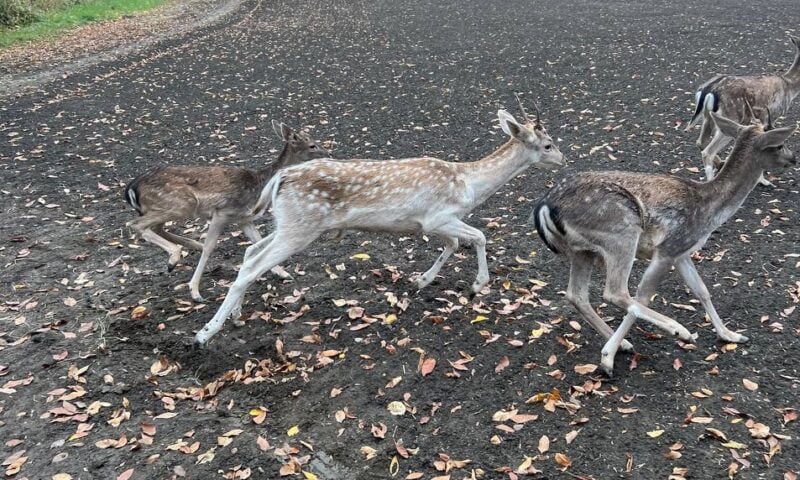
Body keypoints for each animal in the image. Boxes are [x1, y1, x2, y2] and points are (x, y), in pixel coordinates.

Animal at [124, 120, 328, 300]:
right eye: (312, 145)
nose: (327, 154)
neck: (258, 187)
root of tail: (131, 189)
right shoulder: (222, 212)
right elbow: (210, 247)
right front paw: (195, 291)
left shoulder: (244, 218)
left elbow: (258, 241)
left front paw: (283, 273)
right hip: (180, 203)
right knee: (135, 224)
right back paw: (174, 257)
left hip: (170, 207)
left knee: (155, 227)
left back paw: (189, 247)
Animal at [195, 97, 564, 344]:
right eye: (547, 144)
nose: (563, 158)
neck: (469, 186)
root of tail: (280, 178)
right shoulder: (438, 216)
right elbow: (478, 237)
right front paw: (477, 285)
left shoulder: (435, 224)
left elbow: (455, 243)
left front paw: (421, 281)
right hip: (300, 226)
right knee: (251, 267)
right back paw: (205, 333)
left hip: (289, 223)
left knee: (249, 255)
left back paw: (236, 317)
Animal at [532, 111, 792, 376]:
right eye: (779, 144)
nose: (792, 158)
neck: (710, 211)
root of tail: (544, 207)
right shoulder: (668, 248)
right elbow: (643, 295)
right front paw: (607, 357)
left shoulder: (682, 251)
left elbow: (702, 290)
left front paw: (731, 335)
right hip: (622, 233)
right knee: (615, 292)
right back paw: (677, 330)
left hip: (582, 250)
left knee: (577, 295)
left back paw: (624, 343)